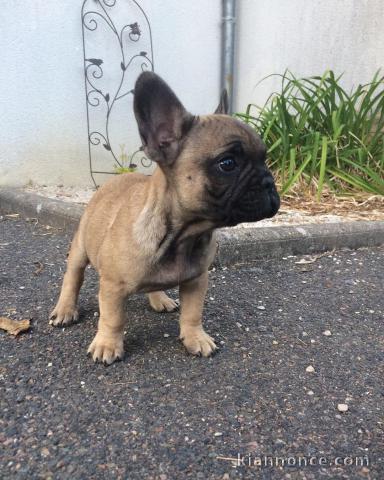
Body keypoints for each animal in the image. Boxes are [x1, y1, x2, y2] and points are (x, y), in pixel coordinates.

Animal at [49, 72, 280, 364]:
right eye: (227, 164)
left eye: (265, 158)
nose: (269, 182)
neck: (182, 235)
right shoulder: (112, 286)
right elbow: (113, 318)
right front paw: (108, 345)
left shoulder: (197, 280)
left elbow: (193, 313)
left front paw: (195, 338)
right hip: (81, 248)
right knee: (73, 277)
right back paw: (65, 309)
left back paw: (160, 298)